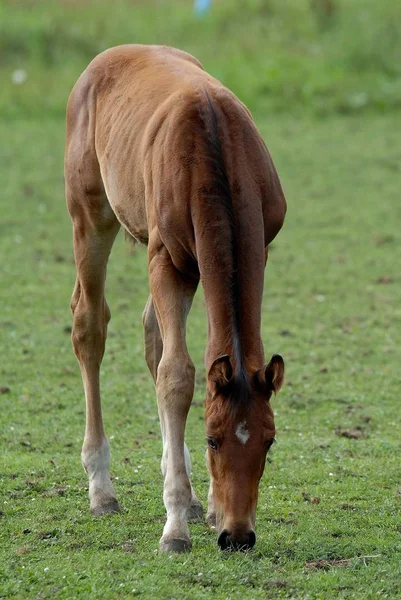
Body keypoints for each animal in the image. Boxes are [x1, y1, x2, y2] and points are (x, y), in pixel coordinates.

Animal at [65, 45, 284, 552]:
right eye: (212, 439)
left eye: (269, 440)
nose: (238, 536)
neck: (214, 146)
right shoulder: (167, 260)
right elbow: (178, 375)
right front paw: (175, 529)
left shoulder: (254, 251)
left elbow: (189, 362)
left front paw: (202, 506)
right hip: (91, 218)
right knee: (89, 325)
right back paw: (101, 489)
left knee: (152, 334)